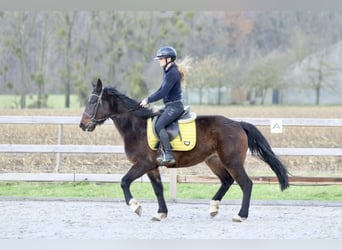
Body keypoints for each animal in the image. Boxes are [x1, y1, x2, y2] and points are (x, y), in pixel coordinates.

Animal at [79, 79, 288, 222]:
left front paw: (135, 206)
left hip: (232, 162)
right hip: (214, 161)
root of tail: (238, 124)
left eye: (92, 102)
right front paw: (160, 213)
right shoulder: (152, 167)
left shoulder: (142, 164)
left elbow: (124, 182)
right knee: (227, 181)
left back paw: (240, 215)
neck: (135, 126)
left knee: (246, 183)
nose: (82, 125)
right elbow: (158, 189)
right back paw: (213, 207)